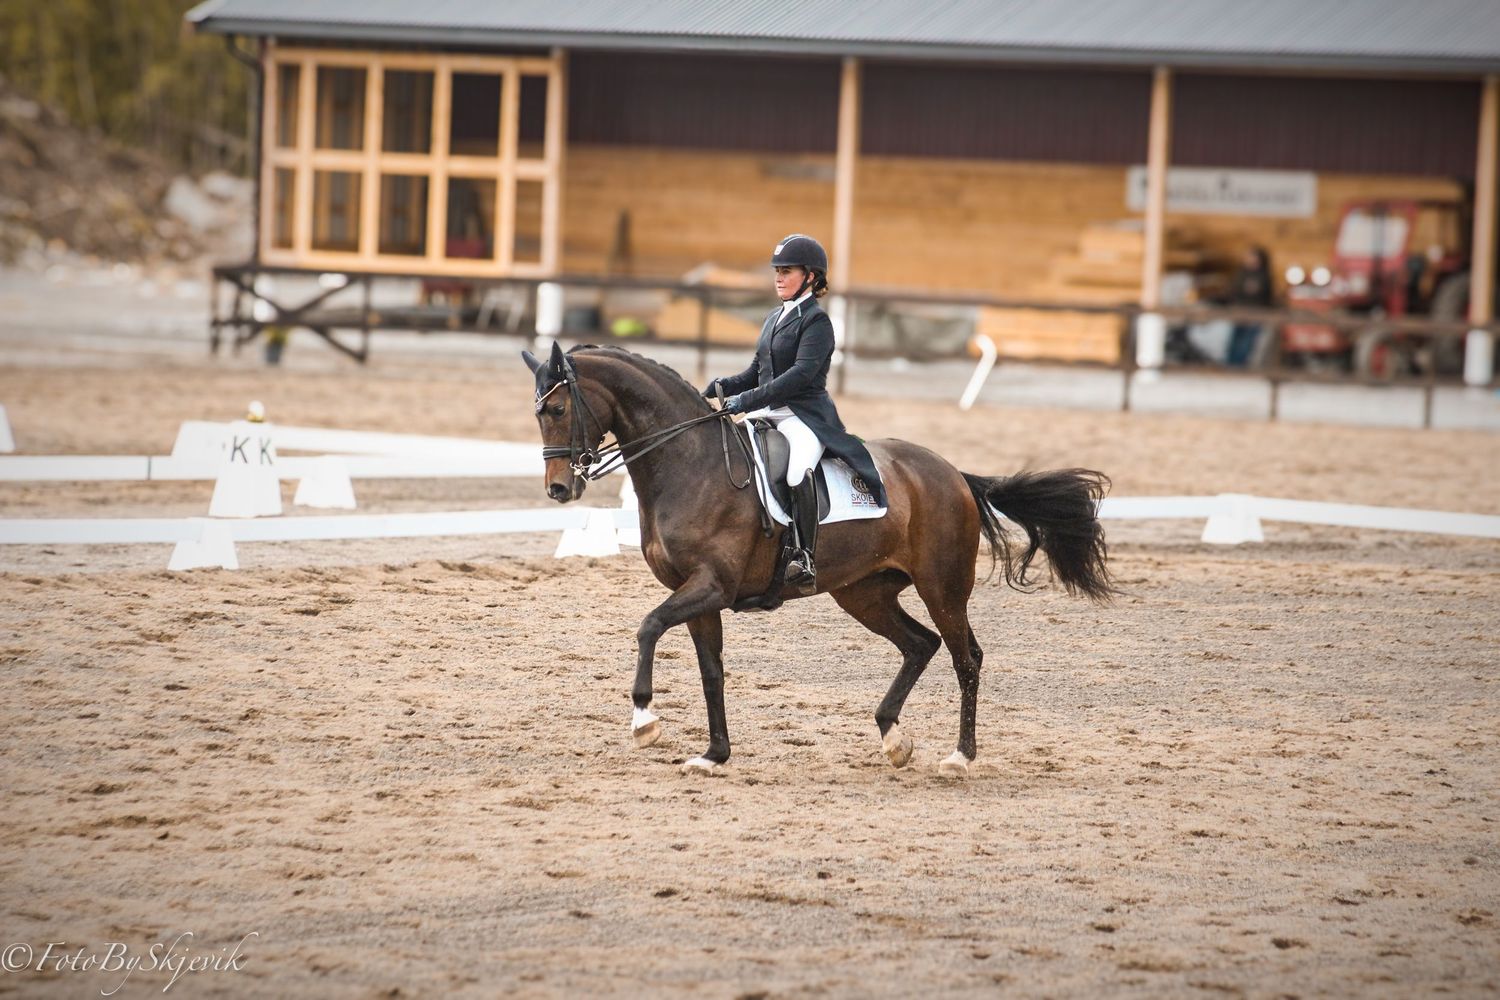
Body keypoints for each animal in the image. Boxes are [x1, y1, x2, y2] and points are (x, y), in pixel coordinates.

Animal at [523, 342, 1114, 778]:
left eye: (558, 409)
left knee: (965, 657)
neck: (690, 465)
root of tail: (952, 473)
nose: (558, 489)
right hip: (864, 592)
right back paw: (893, 738)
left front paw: (644, 720)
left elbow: (647, 626)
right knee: (919, 645)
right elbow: (711, 670)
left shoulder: (711, 585)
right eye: (537, 414)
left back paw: (959, 757)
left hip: (942, 587)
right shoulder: (698, 594)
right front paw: (714, 755)